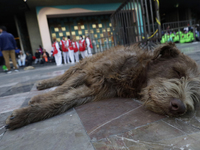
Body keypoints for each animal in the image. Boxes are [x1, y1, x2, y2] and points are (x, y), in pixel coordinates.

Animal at [4, 42, 200, 129]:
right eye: (177, 72)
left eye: (195, 96)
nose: (180, 107)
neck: (135, 73)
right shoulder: (90, 72)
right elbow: (64, 88)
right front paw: (39, 98)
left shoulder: (94, 89)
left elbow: (65, 100)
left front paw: (23, 115)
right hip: (83, 63)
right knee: (64, 76)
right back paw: (44, 83)